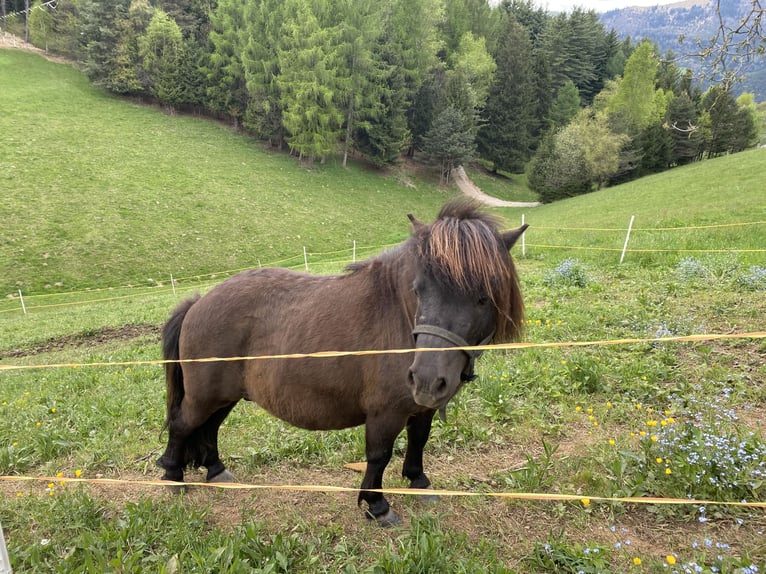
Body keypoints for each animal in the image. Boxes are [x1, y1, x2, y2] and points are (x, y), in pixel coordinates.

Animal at [156, 201, 528, 528]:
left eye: (483, 297)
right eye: (419, 290)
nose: (425, 378)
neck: (399, 316)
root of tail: (199, 301)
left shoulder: (421, 408)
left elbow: (419, 441)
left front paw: (419, 483)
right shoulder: (385, 413)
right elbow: (378, 455)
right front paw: (377, 506)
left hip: (224, 396)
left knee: (209, 428)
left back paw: (216, 470)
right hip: (204, 396)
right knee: (183, 424)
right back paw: (173, 477)